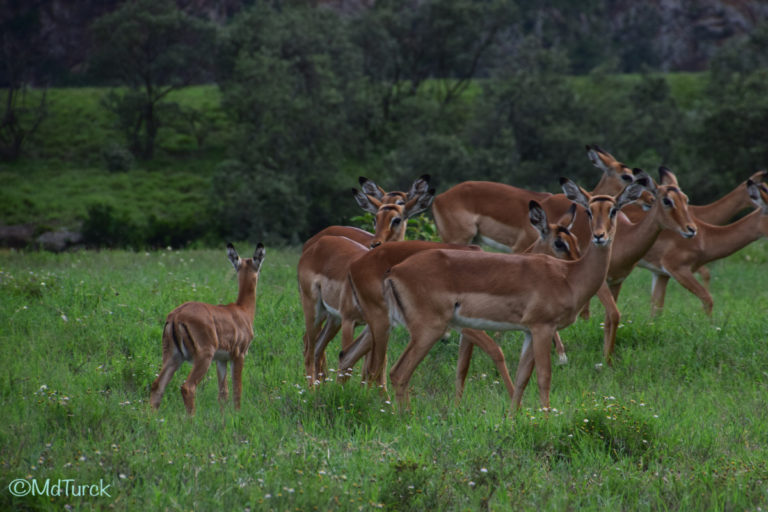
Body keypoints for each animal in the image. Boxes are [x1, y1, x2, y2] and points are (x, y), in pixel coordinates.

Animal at [148, 242, 266, 414]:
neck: (243, 310)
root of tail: (176, 316)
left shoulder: (221, 359)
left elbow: (223, 393)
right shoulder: (239, 355)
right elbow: (237, 390)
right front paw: (238, 414)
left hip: (173, 357)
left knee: (157, 385)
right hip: (204, 356)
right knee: (187, 387)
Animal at [298, 176, 436, 384]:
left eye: (398, 217)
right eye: (374, 218)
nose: (376, 243)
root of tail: (315, 242)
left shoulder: (378, 326)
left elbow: (376, 365)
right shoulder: (351, 321)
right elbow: (353, 362)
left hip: (333, 318)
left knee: (317, 348)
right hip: (320, 312)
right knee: (310, 346)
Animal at [380, 180, 644, 412]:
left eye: (614, 210)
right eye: (589, 210)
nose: (600, 236)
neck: (569, 276)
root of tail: (395, 271)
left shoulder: (528, 331)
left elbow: (521, 379)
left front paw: (513, 418)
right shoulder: (543, 328)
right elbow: (544, 377)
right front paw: (545, 419)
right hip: (429, 330)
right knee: (399, 372)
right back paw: (407, 417)